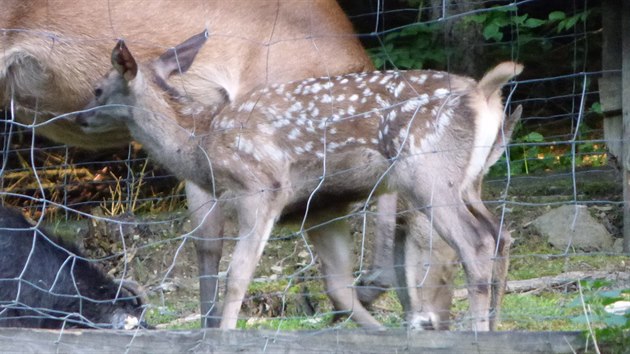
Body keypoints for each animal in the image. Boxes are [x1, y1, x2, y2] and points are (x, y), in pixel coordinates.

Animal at [75, 32, 524, 330]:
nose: (77, 118)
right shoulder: (320, 208)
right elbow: (338, 287)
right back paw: (493, 326)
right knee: (500, 234)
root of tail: (484, 92)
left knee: (474, 244)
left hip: (429, 174)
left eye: (97, 88)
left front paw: (223, 334)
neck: (202, 143)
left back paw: (476, 329)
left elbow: (237, 276)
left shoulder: (262, 187)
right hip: (467, 182)